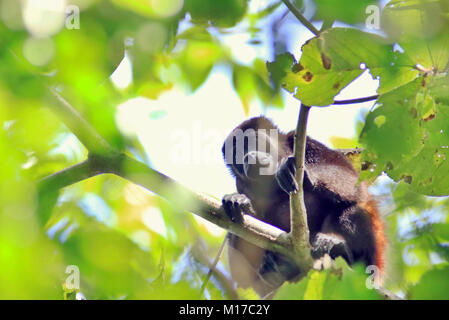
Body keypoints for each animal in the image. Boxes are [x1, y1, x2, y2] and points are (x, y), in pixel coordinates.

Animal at [220, 116, 384, 296]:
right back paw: (276, 266)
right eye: (236, 154)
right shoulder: (241, 184)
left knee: (353, 210)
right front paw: (238, 202)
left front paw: (305, 176)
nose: (248, 156)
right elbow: (242, 278)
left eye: (253, 141)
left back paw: (335, 244)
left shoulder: (307, 144)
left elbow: (353, 184)